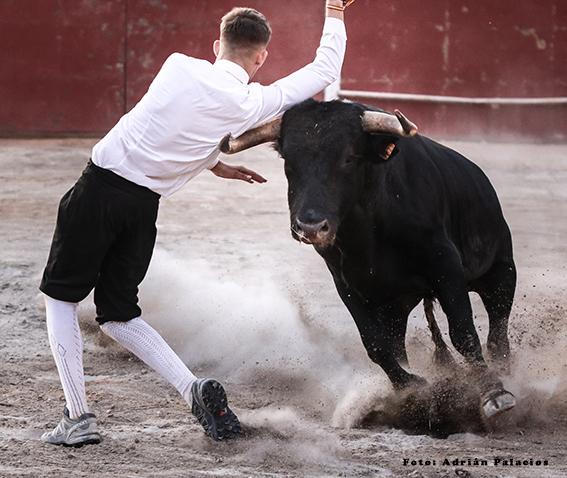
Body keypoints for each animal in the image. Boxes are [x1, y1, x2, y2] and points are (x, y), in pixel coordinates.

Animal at [224, 100, 516, 418]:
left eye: (349, 158)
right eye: (289, 161)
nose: (310, 226)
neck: (368, 231)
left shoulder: (446, 266)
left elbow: (463, 331)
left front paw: (493, 393)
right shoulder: (347, 284)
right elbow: (376, 345)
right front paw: (413, 391)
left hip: (501, 270)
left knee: (497, 330)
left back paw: (505, 371)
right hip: (396, 306)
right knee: (397, 343)